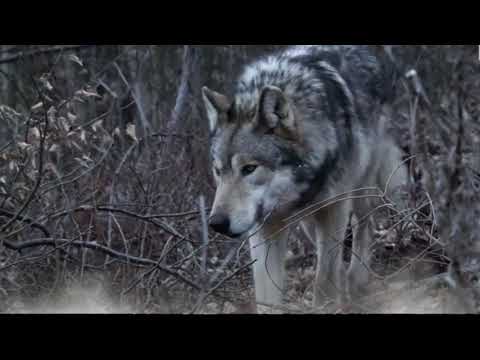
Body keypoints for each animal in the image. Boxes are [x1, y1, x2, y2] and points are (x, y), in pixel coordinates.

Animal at [201, 44, 406, 310]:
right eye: (218, 171)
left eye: (249, 168)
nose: (216, 223)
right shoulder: (264, 228)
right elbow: (267, 299)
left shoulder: (334, 209)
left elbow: (324, 283)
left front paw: (328, 304)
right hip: (309, 222)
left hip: (360, 190)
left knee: (364, 225)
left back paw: (356, 280)